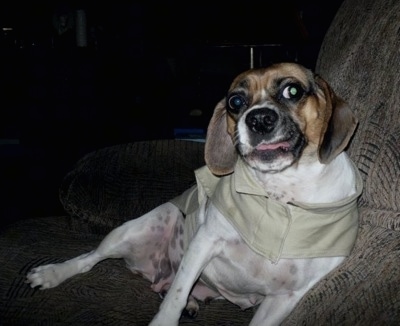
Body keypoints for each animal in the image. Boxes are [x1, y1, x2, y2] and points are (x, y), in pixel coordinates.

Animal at [25, 62, 362, 324]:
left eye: (292, 91)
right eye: (235, 102)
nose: (259, 119)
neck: (281, 195)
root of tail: (155, 273)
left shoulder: (286, 297)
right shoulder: (204, 242)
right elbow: (173, 298)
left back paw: (188, 302)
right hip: (145, 224)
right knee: (90, 258)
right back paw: (51, 274)